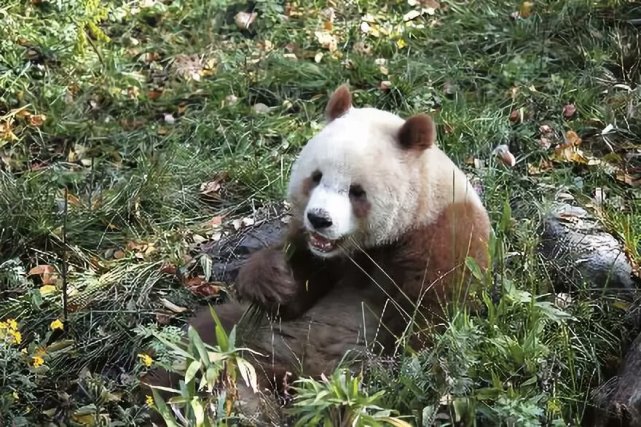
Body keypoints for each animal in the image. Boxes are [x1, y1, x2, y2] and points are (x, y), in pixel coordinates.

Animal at [141, 84, 490, 422]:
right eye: (316, 176)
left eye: (357, 191)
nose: (320, 219)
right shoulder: (315, 251)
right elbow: (295, 295)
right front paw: (273, 279)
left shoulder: (442, 238)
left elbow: (424, 324)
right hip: (249, 336)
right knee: (199, 345)